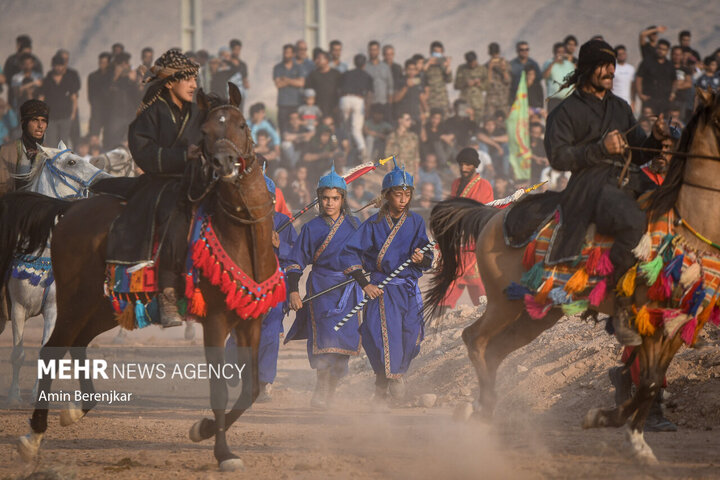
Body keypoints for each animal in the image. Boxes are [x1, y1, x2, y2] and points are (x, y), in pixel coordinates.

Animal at [2, 144, 109, 406]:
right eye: (71, 162)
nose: (105, 179)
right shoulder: (18, 308)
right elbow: (18, 353)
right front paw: (13, 396)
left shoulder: (53, 309)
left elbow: (46, 353)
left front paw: (38, 394)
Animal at [424, 87, 720, 464]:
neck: (687, 226)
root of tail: (493, 217)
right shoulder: (651, 318)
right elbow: (649, 381)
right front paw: (610, 420)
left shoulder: (676, 322)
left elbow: (652, 382)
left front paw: (633, 438)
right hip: (504, 303)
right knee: (474, 338)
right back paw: (484, 412)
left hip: (537, 314)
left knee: (494, 350)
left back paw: (483, 413)